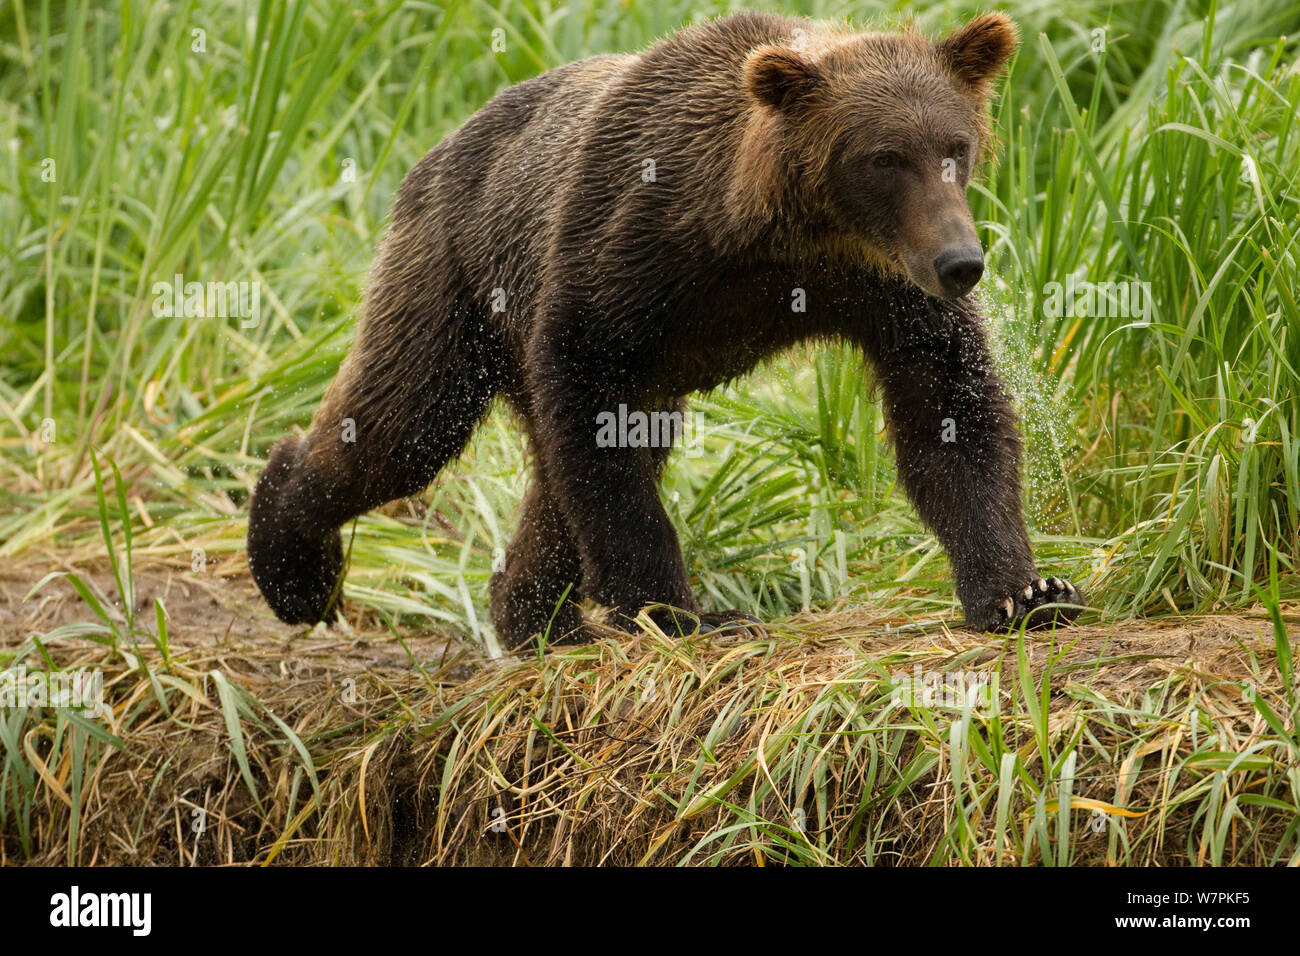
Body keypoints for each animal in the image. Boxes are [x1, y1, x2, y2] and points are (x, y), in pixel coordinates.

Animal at [245, 7, 1086, 647]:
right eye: (884, 157)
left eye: (956, 147)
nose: (961, 262)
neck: (776, 237)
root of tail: (439, 146)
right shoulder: (627, 247)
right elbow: (594, 416)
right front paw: (684, 613)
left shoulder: (883, 290)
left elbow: (948, 410)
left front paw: (1027, 591)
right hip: (452, 270)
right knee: (406, 423)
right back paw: (293, 564)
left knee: (563, 473)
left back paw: (536, 620)